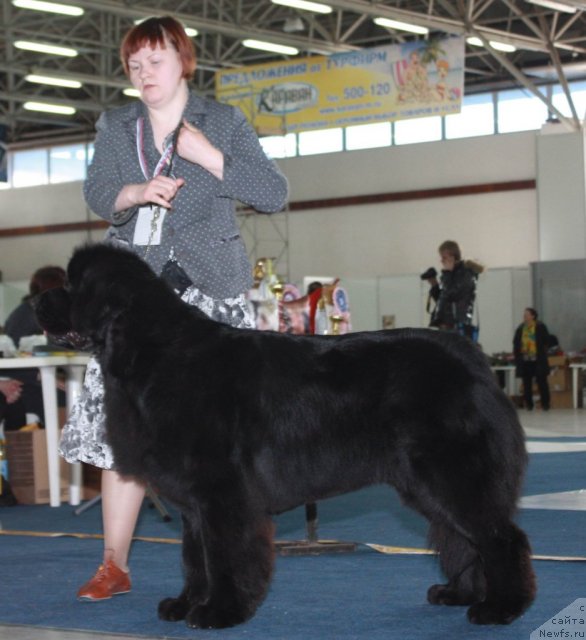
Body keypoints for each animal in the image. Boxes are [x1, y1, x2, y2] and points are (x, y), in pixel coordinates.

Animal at [36, 245, 532, 632]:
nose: (38, 298)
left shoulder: (223, 494)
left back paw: (500, 608)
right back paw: (460, 594)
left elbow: (223, 555)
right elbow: (194, 557)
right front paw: (186, 603)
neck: (152, 350)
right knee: (463, 537)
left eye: (72, 284)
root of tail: (475, 360)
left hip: (453, 474)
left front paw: (219, 612)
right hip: (427, 483)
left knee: (499, 537)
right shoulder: (196, 503)